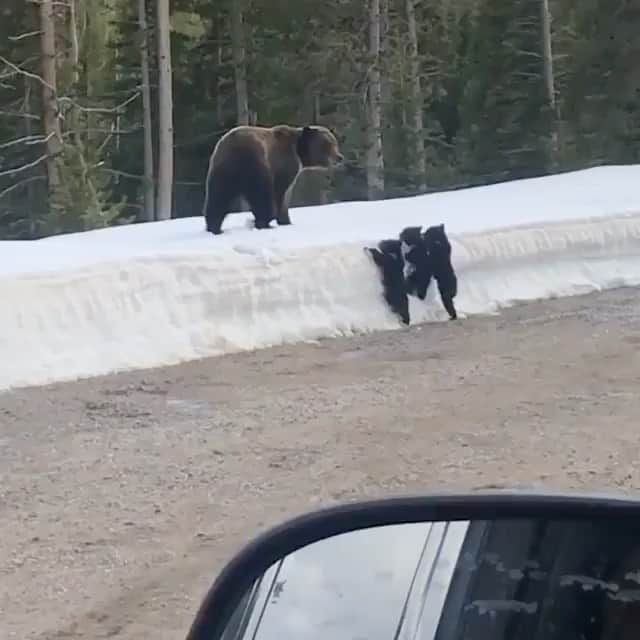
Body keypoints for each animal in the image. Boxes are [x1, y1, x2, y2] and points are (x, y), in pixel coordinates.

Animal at [202, 124, 343, 235]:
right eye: (327, 144)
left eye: (335, 142)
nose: (339, 157)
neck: (299, 151)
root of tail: (235, 148)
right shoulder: (284, 164)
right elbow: (282, 192)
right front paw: (285, 220)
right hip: (256, 165)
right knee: (262, 196)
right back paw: (264, 222)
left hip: (221, 171)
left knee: (218, 199)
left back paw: (214, 228)